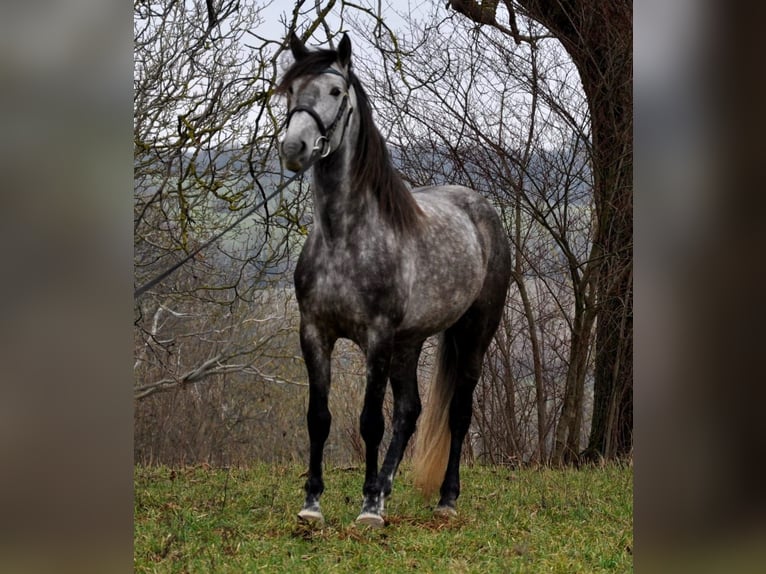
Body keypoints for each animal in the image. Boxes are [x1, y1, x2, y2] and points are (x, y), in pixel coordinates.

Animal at [280, 30, 512, 528]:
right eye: (289, 91)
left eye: (335, 92)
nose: (294, 149)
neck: (344, 238)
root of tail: (480, 208)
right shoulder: (315, 333)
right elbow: (318, 417)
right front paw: (313, 504)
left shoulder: (377, 337)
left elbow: (371, 420)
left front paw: (367, 507)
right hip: (410, 342)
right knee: (410, 411)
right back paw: (387, 487)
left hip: (474, 332)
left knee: (458, 412)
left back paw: (444, 499)